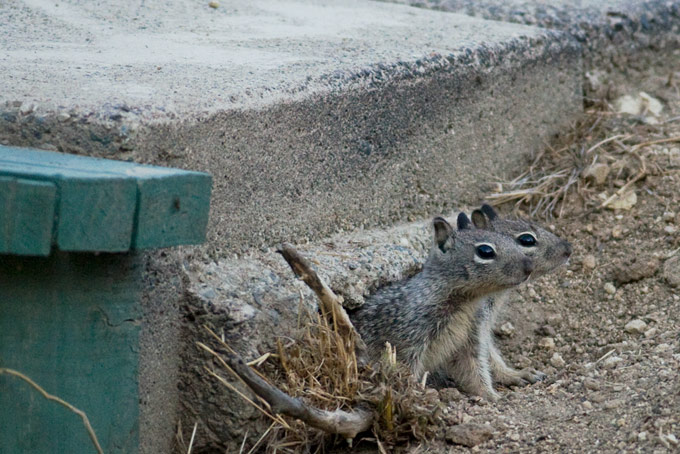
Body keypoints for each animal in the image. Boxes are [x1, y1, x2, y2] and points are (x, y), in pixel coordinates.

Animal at [350, 212, 535, 398]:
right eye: (485, 251)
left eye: (512, 241)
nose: (529, 267)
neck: (467, 301)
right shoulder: (407, 340)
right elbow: (406, 368)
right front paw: (413, 392)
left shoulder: (472, 338)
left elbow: (475, 369)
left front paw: (490, 395)